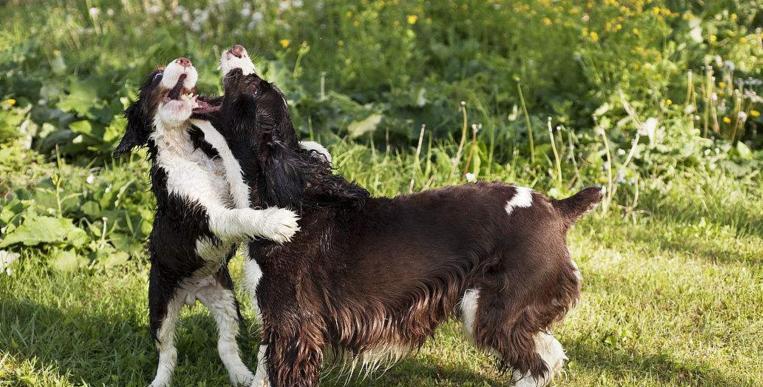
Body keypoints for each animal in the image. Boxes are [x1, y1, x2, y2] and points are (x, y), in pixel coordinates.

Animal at [113, 57, 302, 387]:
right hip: (160, 303)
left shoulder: (230, 185)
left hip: (225, 298)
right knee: (168, 351)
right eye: (157, 76)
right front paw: (278, 222)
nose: (184, 60)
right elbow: (240, 216)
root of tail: (192, 293)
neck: (187, 150)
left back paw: (242, 375)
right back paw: (160, 381)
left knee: (225, 344)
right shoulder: (205, 213)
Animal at [197, 46, 604, 387]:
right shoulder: (279, 324)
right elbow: (262, 374)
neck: (284, 199)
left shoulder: (293, 324)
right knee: (549, 353)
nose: (236, 49)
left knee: (537, 363)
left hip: (490, 308)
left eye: (252, 85)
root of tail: (557, 208)